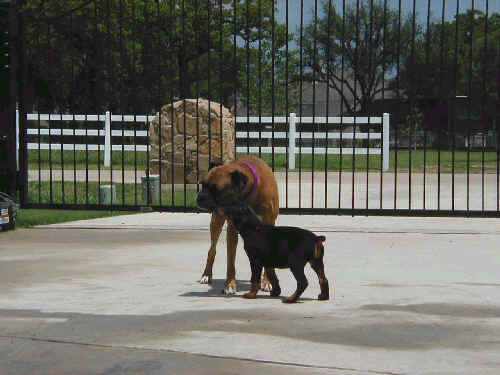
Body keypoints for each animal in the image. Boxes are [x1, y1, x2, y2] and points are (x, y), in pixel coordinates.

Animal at [195, 154, 280, 296]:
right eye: (202, 185)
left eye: (216, 189)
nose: (199, 197)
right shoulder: (232, 230)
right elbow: (230, 261)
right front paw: (229, 285)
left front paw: (267, 282)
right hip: (216, 222)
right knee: (212, 250)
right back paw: (206, 275)